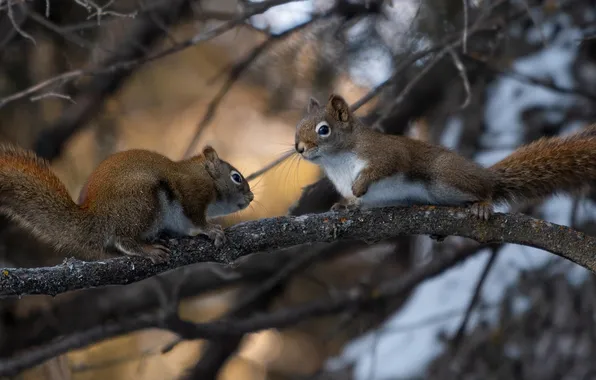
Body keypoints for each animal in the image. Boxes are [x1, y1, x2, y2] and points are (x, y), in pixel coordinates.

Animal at [0, 144, 254, 262]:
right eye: (236, 177)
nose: (251, 198)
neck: (203, 174)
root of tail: (97, 215)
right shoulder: (192, 192)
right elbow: (196, 219)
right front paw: (211, 230)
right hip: (143, 202)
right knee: (122, 239)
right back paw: (146, 249)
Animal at [296, 93, 596, 218]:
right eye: (298, 127)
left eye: (324, 130)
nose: (299, 148)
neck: (336, 162)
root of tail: (484, 174)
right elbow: (356, 201)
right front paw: (346, 205)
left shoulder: (383, 152)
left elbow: (384, 166)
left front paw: (359, 187)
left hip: (444, 178)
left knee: (485, 191)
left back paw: (483, 205)